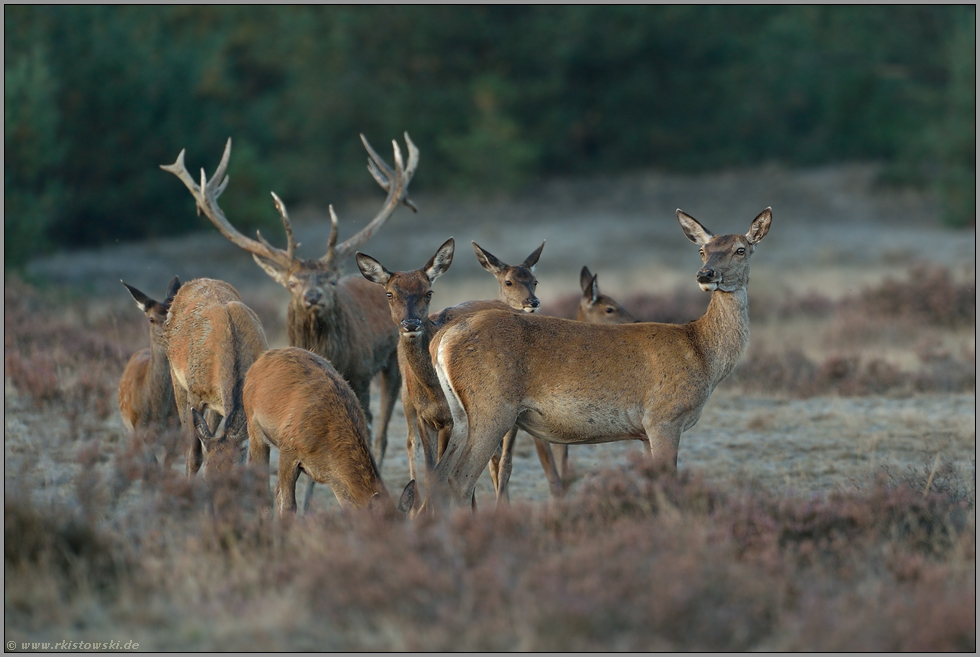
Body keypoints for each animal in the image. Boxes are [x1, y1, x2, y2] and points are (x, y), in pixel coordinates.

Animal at [426, 208, 772, 504]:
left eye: (741, 249)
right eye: (703, 250)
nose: (705, 274)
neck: (702, 353)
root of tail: (442, 340)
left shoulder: (644, 432)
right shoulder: (664, 417)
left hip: (461, 416)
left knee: (437, 477)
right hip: (492, 407)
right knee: (459, 480)